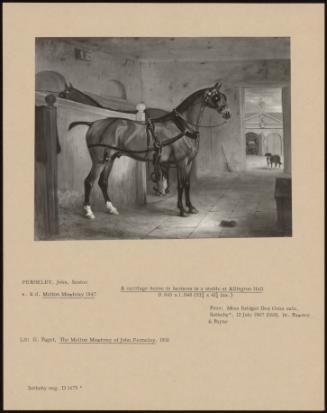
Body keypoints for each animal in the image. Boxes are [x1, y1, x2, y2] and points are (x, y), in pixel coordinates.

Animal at [68, 81, 232, 220]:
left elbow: (187, 184)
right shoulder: (181, 162)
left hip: (110, 159)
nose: (228, 114)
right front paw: (182, 210)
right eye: (217, 97)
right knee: (89, 181)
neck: (182, 126)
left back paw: (111, 208)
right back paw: (88, 211)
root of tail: (93, 124)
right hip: (99, 161)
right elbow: (180, 185)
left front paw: (191, 207)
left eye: (224, 96)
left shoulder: (188, 163)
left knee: (103, 182)